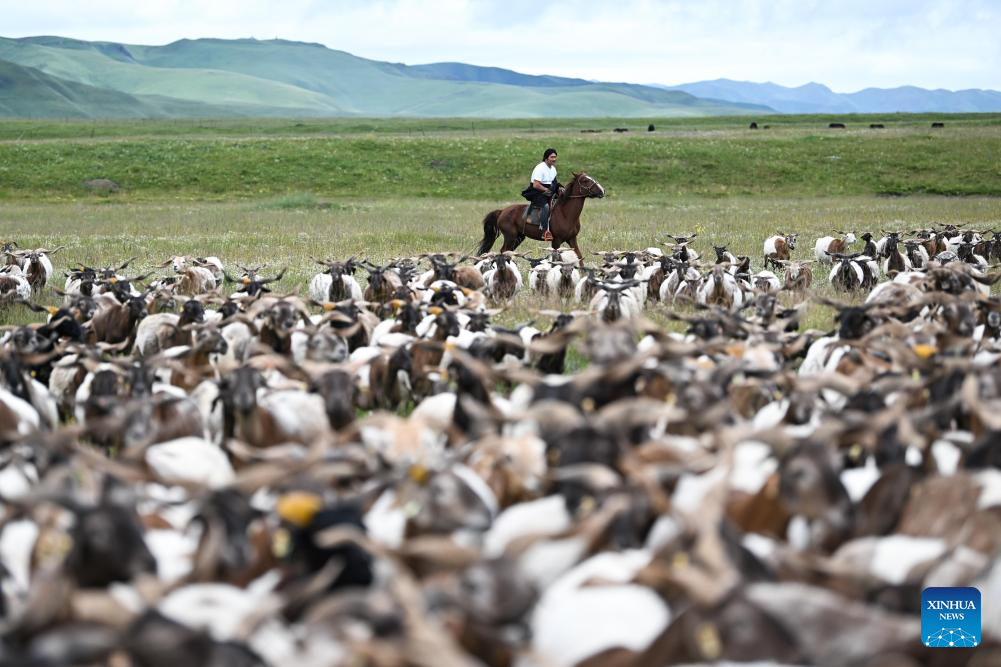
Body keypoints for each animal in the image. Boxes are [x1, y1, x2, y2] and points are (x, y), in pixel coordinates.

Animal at [474, 171, 604, 262]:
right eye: (585, 180)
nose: (602, 191)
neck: (565, 213)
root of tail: (502, 211)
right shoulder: (556, 241)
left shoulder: (572, 239)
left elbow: (579, 256)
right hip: (510, 237)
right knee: (504, 251)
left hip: (518, 237)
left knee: (507, 252)